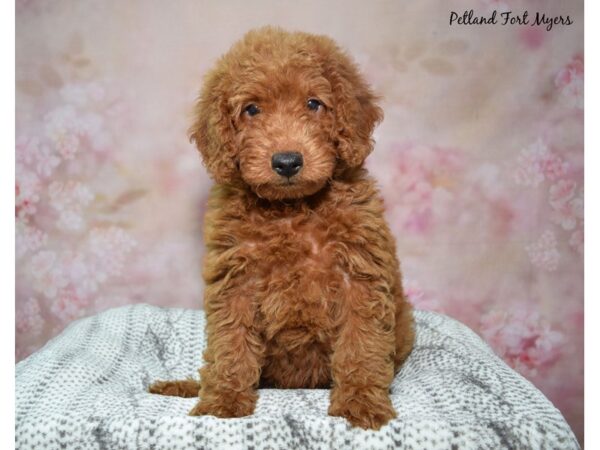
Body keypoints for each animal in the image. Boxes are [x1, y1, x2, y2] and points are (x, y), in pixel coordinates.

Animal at [148, 25, 414, 428]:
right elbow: (231, 344)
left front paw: (361, 402)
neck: (291, 210)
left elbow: (361, 344)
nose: (287, 162)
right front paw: (223, 399)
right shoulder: (235, 280)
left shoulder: (360, 277)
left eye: (314, 104)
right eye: (252, 109)